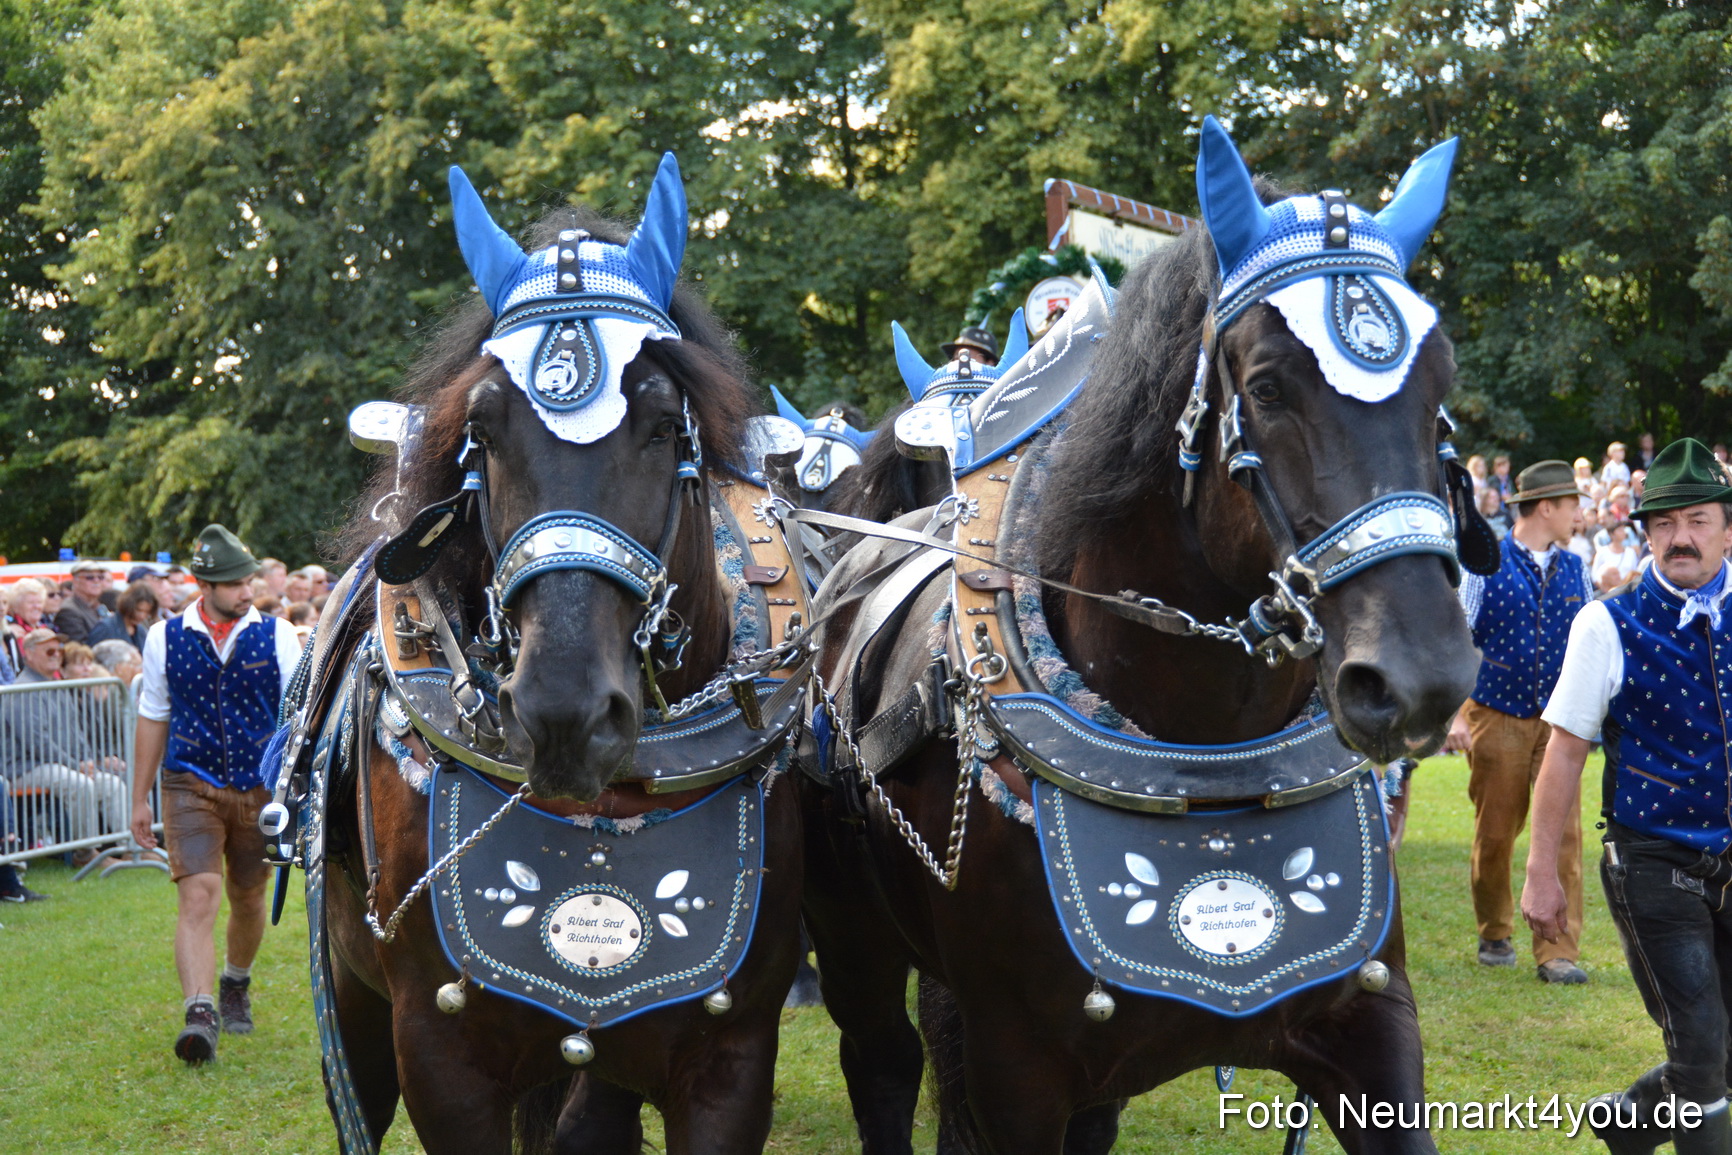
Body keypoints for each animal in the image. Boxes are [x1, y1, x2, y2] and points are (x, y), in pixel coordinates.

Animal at [270, 155, 811, 1154]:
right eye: (482, 432)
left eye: (662, 425)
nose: (564, 714)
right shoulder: (439, 1053)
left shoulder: (732, 1055)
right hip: (354, 1010)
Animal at [796, 119, 1485, 1154]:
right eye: (1269, 387)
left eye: (1438, 379)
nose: (1422, 676)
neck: (1205, 763)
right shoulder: (1017, 1070)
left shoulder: (1368, 1018)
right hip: (854, 944)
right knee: (881, 1064)